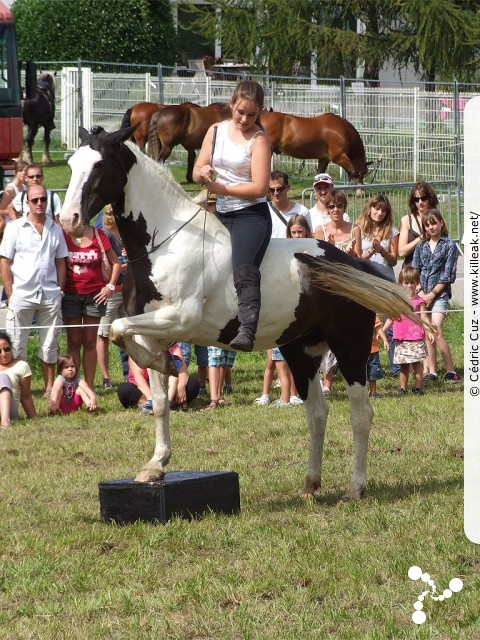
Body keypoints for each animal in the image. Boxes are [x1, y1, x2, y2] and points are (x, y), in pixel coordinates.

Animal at [60, 125, 420, 502]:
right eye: (72, 164)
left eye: (99, 165)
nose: (69, 221)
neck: (164, 244)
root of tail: (354, 264)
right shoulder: (152, 331)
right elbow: (153, 392)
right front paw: (156, 462)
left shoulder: (180, 318)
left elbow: (117, 327)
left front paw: (168, 367)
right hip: (300, 350)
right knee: (317, 414)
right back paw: (310, 483)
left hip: (349, 348)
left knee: (360, 413)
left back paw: (355, 487)